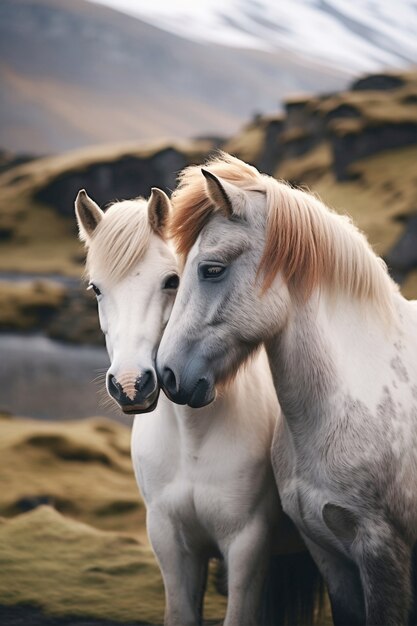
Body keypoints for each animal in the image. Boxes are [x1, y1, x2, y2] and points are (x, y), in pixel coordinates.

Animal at [74, 188, 322, 624]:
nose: (130, 385)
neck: (192, 439)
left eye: (171, 280)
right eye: (97, 289)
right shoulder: (171, 543)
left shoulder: (247, 546)